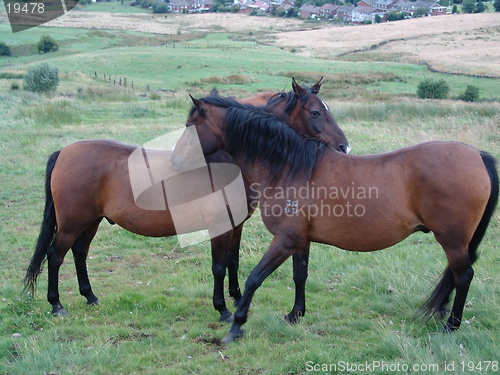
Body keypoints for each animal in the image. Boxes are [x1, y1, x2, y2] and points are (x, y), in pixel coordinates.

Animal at [25, 78, 350, 322]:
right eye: (315, 112)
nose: (344, 148)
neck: (230, 160)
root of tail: (65, 151)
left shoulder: (235, 224)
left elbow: (232, 261)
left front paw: (236, 296)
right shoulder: (219, 226)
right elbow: (218, 266)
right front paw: (222, 309)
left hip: (89, 221)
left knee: (79, 253)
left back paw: (90, 296)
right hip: (71, 223)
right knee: (55, 255)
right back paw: (56, 304)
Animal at [170, 94, 498, 344]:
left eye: (189, 126)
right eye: (315, 112)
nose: (175, 162)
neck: (288, 167)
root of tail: (478, 154)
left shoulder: (284, 241)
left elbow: (254, 279)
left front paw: (236, 325)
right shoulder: (300, 240)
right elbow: (299, 274)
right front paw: (295, 314)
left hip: (452, 240)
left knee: (463, 276)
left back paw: (451, 326)